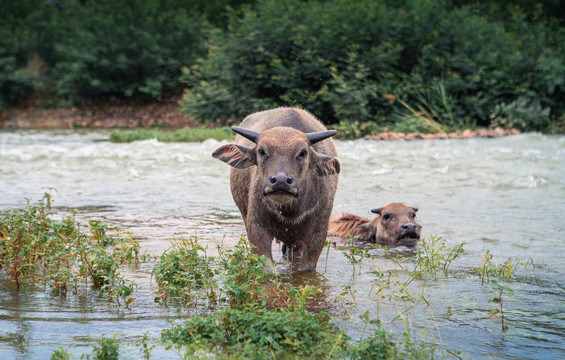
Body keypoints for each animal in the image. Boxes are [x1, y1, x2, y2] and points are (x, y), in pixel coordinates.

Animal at [210, 107, 340, 270]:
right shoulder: (256, 227)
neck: (291, 212)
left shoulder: (319, 233)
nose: (281, 181)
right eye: (261, 151)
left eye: (303, 152)